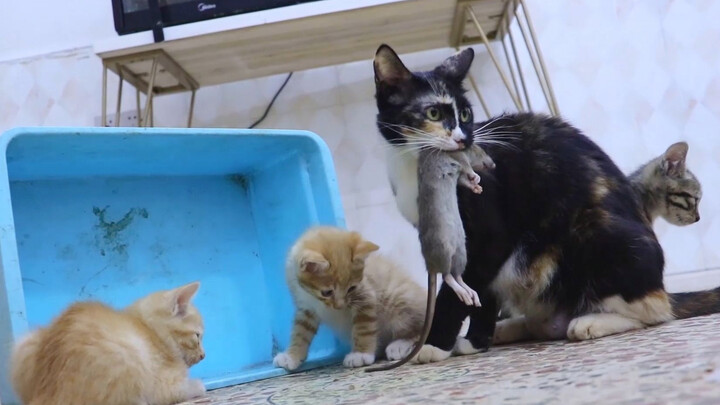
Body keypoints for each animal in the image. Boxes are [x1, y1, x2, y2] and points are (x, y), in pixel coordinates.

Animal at [11, 280, 208, 404]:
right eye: (197, 336)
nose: (203, 355)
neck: (149, 329)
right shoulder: (165, 385)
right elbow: (183, 389)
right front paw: (198, 385)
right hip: (127, 356)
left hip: (26, 343)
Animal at [272, 224, 424, 370]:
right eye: (327, 292)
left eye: (351, 288)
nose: (339, 306)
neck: (312, 297)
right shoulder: (305, 308)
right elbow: (300, 333)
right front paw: (291, 356)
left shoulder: (366, 297)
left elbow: (364, 328)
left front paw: (361, 354)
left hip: (399, 300)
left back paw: (400, 345)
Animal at [374, 43, 716, 362]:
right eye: (433, 113)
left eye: (466, 115)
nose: (464, 139)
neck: (412, 165)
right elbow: (482, 293)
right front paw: (475, 342)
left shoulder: (489, 231)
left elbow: (456, 293)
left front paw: (432, 346)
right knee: (540, 321)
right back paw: (509, 328)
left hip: (600, 235)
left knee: (655, 312)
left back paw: (590, 322)